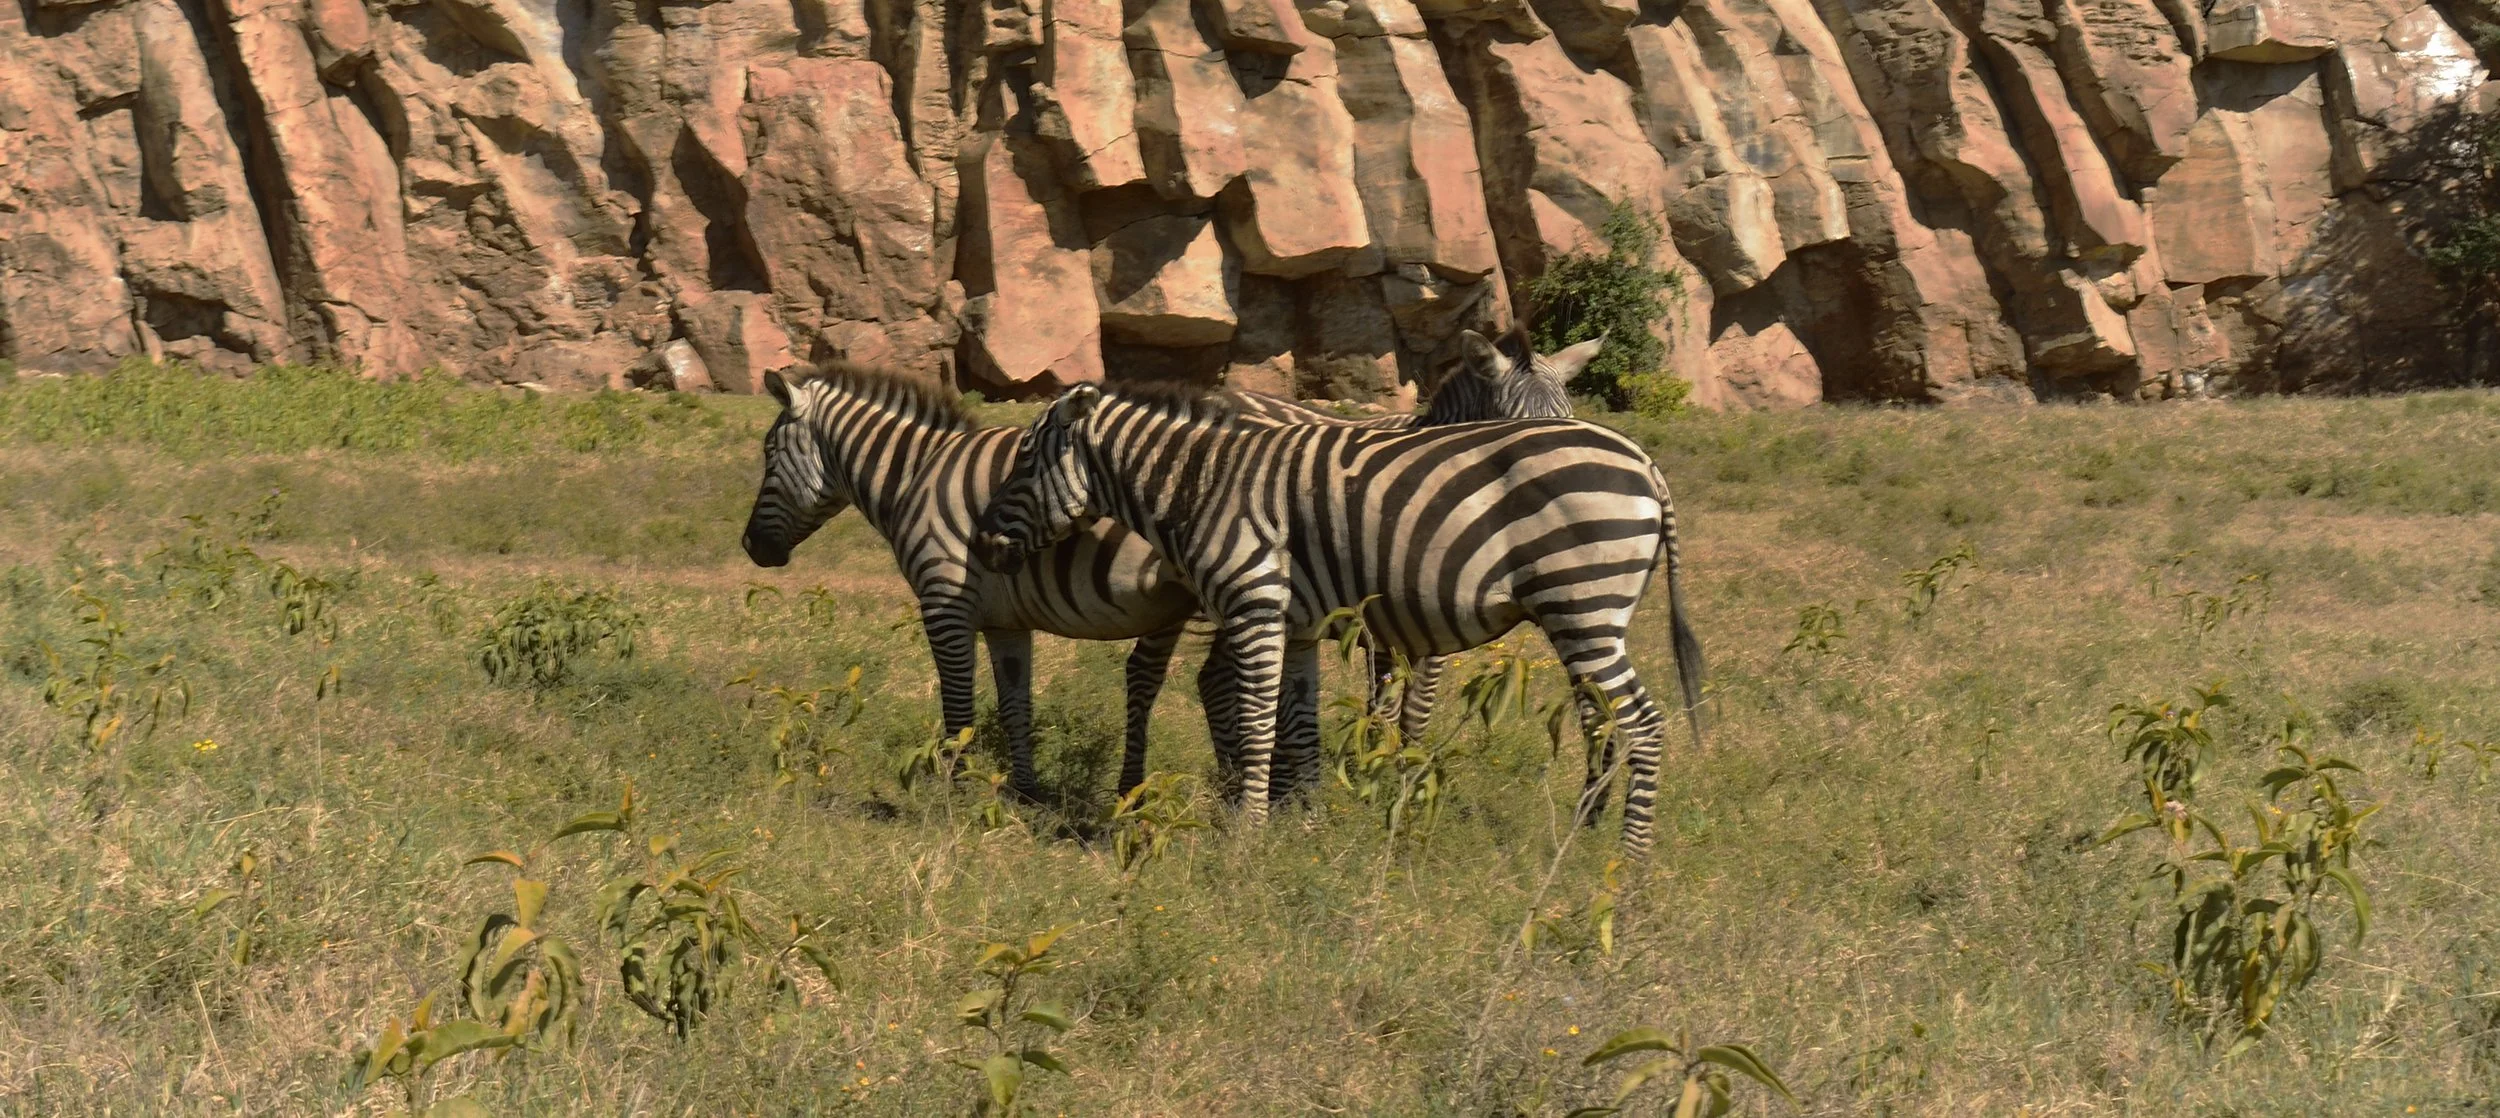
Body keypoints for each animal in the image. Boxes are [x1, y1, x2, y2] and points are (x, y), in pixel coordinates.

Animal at [969, 377, 1704, 858]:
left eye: (1025, 460)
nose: (980, 541)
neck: (1202, 485)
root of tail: (1645, 462)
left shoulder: (1257, 606)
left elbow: (1259, 723)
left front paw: (1249, 837)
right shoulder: (1297, 625)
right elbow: (1299, 727)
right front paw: (1308, 827)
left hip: (1583, 604)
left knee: (1642, 724)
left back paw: (1628, 863)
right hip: (1584, 615)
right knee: (1607, 720)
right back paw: (1589, 836)